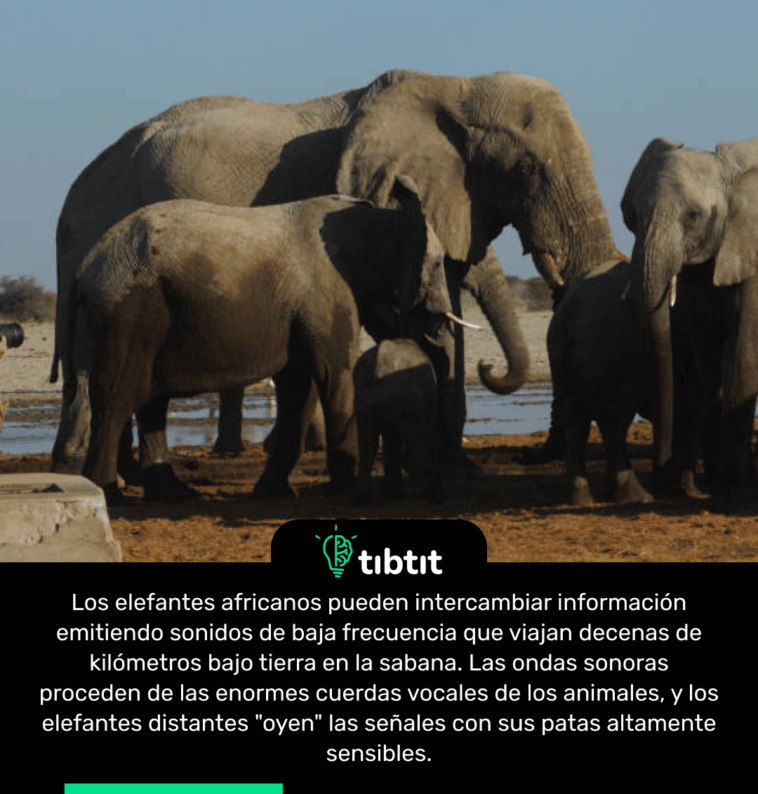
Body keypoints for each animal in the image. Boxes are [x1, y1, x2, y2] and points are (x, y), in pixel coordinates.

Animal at [353, 338, 441, 504]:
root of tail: (379, 364)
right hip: (403, 396)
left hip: (361, 392)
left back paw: (361, 499)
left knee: (367, 442)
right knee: (411, 439)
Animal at [547, 258, 655, 505]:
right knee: (615, 419)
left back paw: (582, 499)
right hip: (609, 344)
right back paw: (637, 497)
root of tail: (574, 304)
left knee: (574, 416)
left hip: (561, 349)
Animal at [622, 138, 758, 505]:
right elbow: (708, 360)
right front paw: (718, 484)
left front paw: (733, 488)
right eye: (632, 216)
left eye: (694, 215)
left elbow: (742, 354)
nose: (659, 488)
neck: (728, 170)